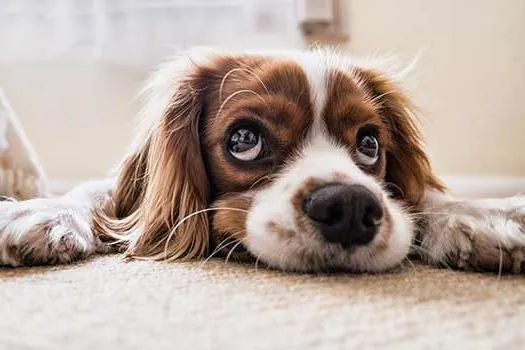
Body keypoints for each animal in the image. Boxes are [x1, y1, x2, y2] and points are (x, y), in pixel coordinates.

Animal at [1, 48, 524, 274]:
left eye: (370, 144)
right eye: (244, 139)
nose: (351, 207)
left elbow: (424, 197)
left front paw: (480, 216)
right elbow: (95, 192)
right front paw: (40, 213)